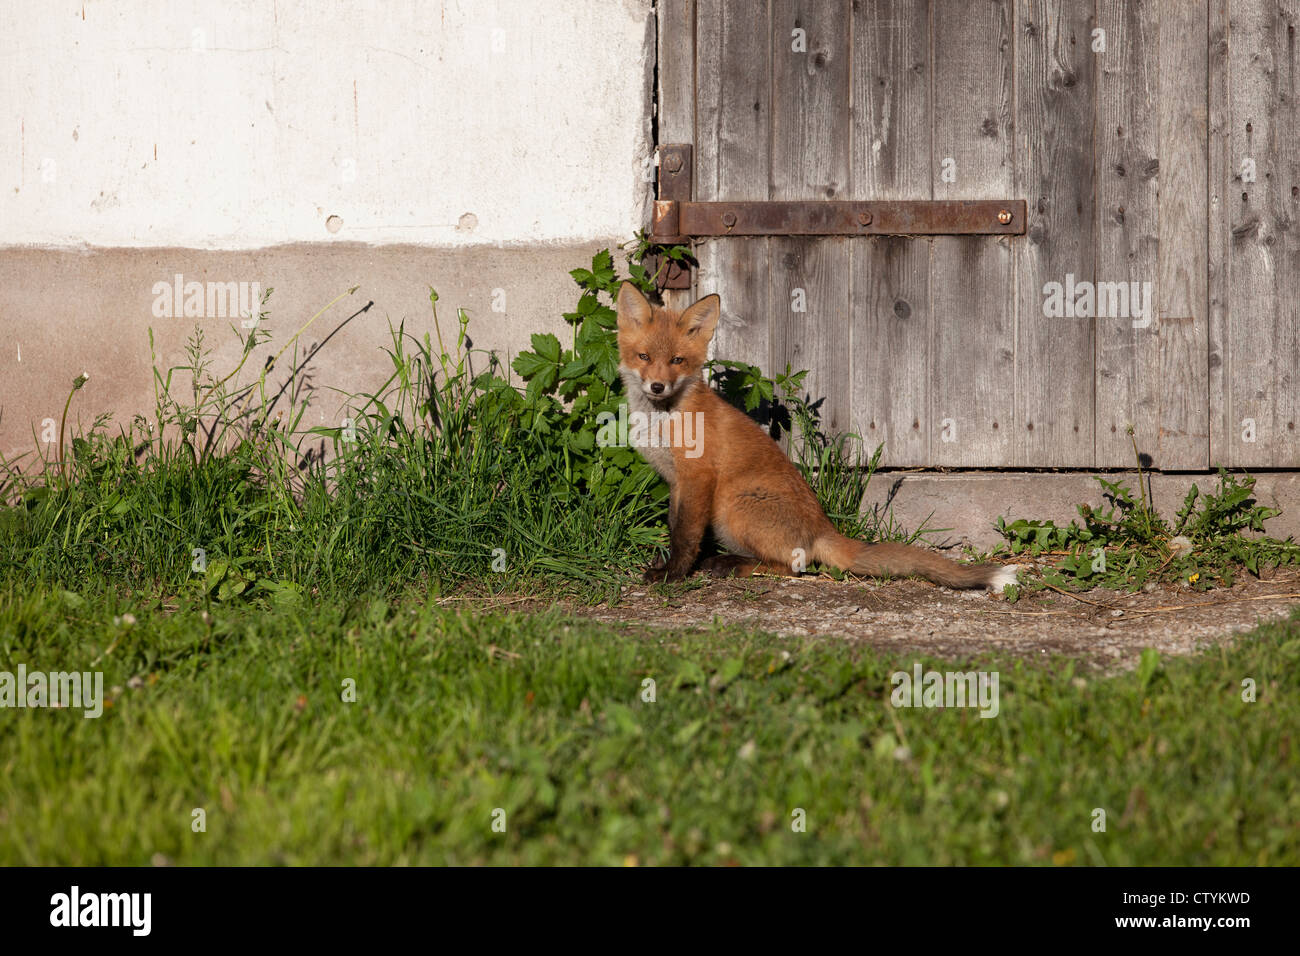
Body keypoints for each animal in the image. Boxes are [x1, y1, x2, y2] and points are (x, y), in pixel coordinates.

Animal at [613, 282, 1019, 590]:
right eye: (644, 356)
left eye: (677, 361)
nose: (657, 386)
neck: (663, 419)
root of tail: (824, 527)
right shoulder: (676, 481)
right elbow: (673, 527)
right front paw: (665, 566)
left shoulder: (697, 477)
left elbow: (685, 536)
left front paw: (674, 575)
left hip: (734, 506)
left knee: (797, 565)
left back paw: (732, 565)